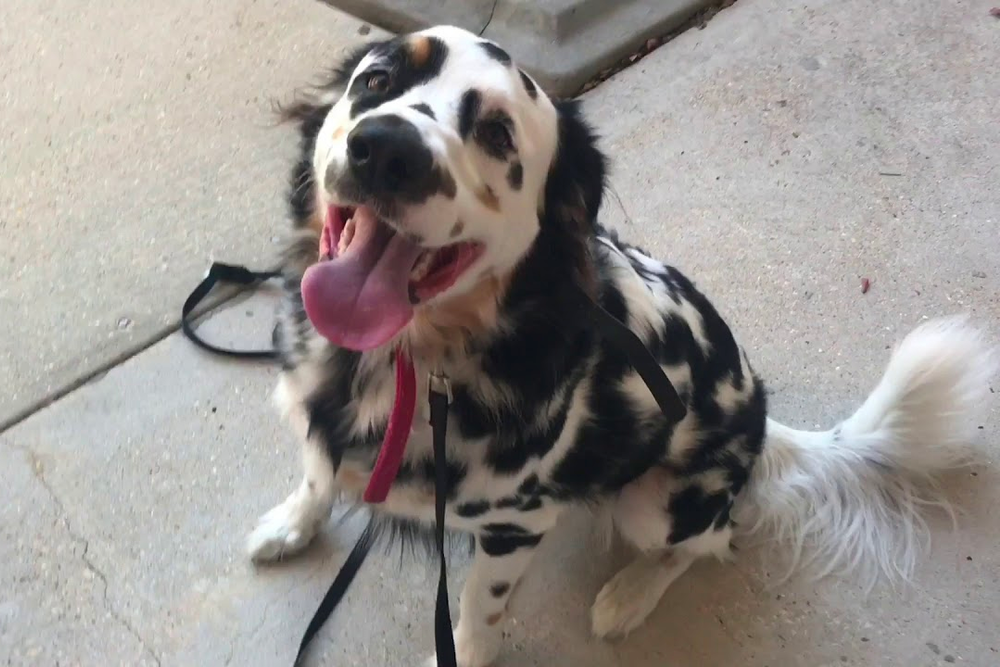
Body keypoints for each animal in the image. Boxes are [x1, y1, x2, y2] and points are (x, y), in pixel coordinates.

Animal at [246, 23, 996, 664]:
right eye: (376, 81)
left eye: (496, 133)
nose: (385, 148)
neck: (411, 361)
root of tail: (759, 418)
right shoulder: (321, 430)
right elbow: (317, 474)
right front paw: (291, 522)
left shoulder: (518, 523)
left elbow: (480, 606)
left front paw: (468, 649)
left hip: (655, 505)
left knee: (712, 539)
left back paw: (630, 595)